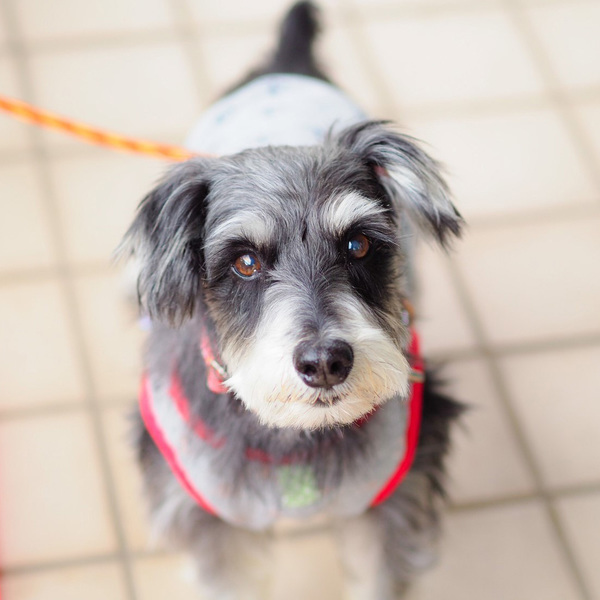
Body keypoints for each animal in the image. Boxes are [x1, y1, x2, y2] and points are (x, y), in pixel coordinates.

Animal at [122, 2, 464, 598]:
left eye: (358, 244)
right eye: (245, 262)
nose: (325, 361)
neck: (293, 433)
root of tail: (287, 65)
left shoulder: (391, 501)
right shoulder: (211, 518)